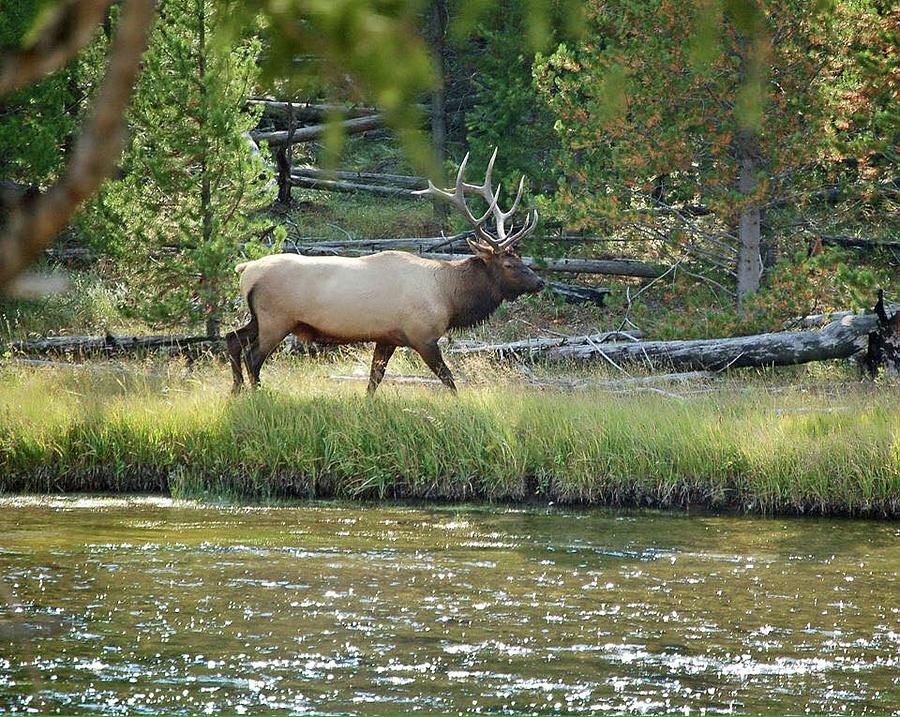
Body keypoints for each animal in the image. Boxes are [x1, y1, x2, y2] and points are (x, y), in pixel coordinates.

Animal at [229, 150, 544, 394]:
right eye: (509, 264)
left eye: (521, 257)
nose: (540, 282)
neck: (449, 296)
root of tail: (245, 269)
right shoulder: (422, 336)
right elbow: (448, 379)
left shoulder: (388, 337)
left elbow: (374, 380)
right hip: (276, 318)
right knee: (253, 356)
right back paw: (257, 393)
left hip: (260, 317)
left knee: (232, 340)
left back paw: (236, 390)